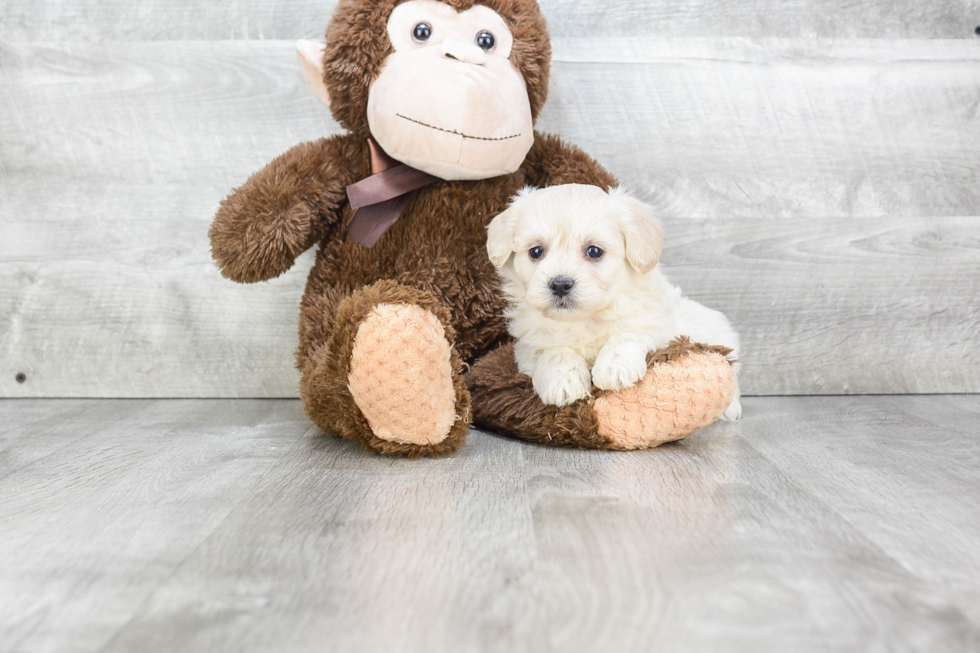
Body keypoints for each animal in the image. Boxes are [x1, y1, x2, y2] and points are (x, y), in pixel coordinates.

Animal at [486, 183, 740, 418]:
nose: (560, 284)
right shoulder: (528, 346)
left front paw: (614, 366)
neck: (584, 317)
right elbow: (555, 350)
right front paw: (562, 380)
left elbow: (627, 333)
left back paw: (731, 409)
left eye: (594, 251)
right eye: (536, 252)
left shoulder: (655, 323)